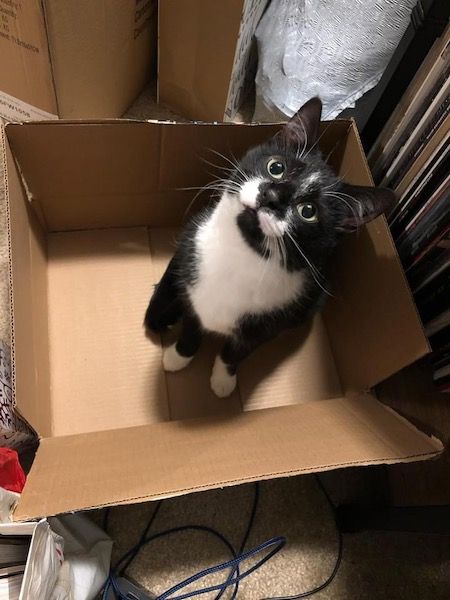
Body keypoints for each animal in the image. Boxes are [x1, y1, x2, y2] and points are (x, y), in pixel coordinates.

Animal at [144, 98, 394, 396]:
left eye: (308, 211)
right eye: (276, 167)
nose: (271, 196)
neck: (239, 255)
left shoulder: (267, 325)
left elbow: (236, 352)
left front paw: (223, 380)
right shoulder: (194, 259)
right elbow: (192, 328)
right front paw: (178, 356)